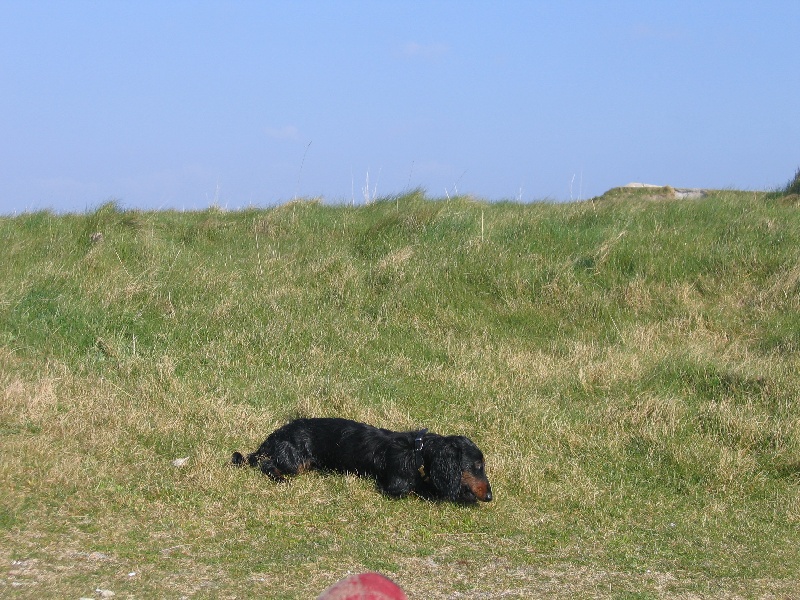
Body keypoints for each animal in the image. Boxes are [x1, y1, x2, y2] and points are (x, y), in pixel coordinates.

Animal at [232, 417, 492, 503]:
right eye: (477, 466)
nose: (489, 496)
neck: (416, 451)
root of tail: (275, 435)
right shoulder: (395, 486)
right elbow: (421, 489)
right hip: (295, 461)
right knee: (266, 464)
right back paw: (279, 478)